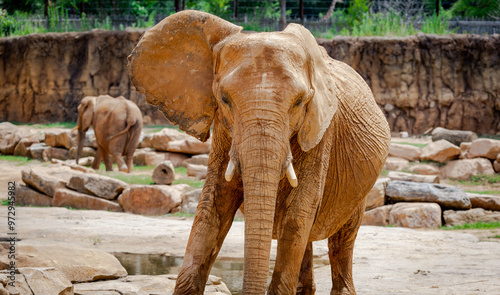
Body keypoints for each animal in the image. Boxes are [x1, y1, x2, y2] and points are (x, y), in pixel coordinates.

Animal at [128, 10, 390, 295]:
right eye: (224, 99)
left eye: (299, 102)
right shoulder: (224, 129)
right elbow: (214, 203)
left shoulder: (321, 130)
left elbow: (298, 212)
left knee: (343, 236)